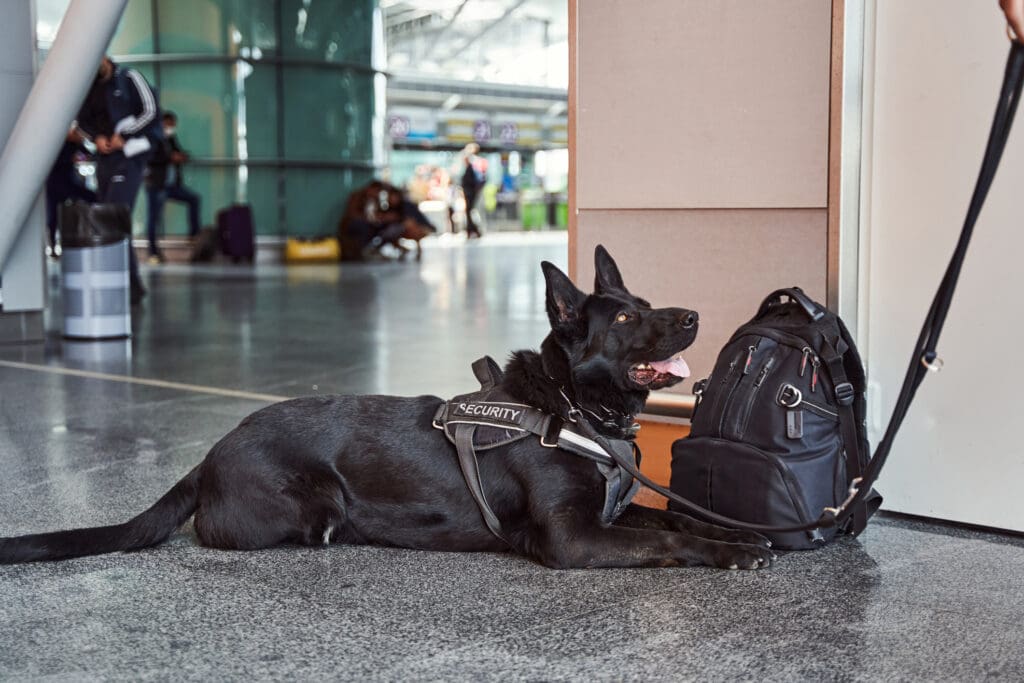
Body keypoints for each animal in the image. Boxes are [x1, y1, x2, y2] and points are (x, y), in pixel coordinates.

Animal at [0, 245, 770, 573]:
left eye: (647, 303)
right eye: (628, 320)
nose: (695, 316)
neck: (571, 406)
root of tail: (210, 453)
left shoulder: (611, 513)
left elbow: (671, 515)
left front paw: (733, 533)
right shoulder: (572, 540)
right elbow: (669, 539)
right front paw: (726, 553)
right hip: (306, 505)